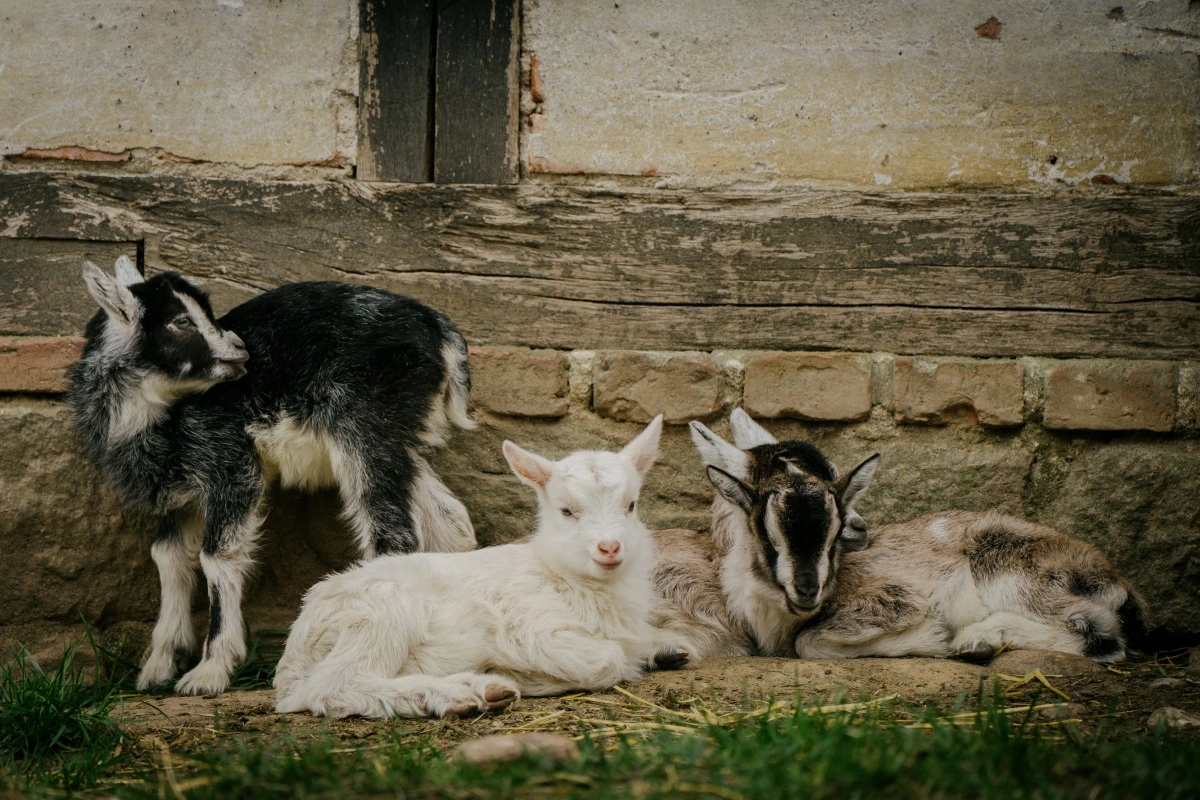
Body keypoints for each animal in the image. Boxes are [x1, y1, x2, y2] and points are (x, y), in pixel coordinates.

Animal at [70, 256, 477, 695]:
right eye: (180, 321)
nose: (239, 349)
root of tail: (442, 334)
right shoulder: (186, 486)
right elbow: (168, 555)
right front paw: (158, 667)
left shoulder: (227, 459)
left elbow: (216, 555)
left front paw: (208, 672)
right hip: (400, 436)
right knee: (450, 522)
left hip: (368, 425)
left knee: (393, 533)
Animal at [273, 419, 672, 719]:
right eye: (567, 511)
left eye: (631, 505)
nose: (610, 548)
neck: (559, 574)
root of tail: (292, 657)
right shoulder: (530, 629)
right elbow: (610, 660)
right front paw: (532, 677)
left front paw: (666, 650)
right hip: (379, 613)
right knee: (331, 686)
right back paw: (454, 694)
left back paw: (484, 690)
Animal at [662, 410, 1147, 666]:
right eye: (764, 526)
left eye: (839, 486)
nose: (861, 529)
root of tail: (1120, 584)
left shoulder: (892, 598)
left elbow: (810, 643)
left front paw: (930, 637)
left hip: (1011, 571)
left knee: (1103, 632)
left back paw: (975, 640)